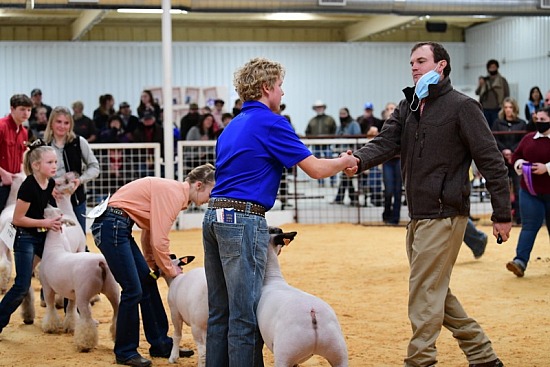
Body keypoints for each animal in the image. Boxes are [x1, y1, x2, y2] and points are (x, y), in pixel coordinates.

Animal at [40, 203, 119, 352]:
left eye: (48, 212)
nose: (46, 204)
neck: (54, 247)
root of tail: (100, 262)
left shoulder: (47, 287)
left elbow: (51, 307)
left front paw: (50, 327)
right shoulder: (72, 293)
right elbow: (71, 309)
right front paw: (70, 326)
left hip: (84, 293)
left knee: (87, 319)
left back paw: (84, 344)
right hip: (113, 289)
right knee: (117, 312)